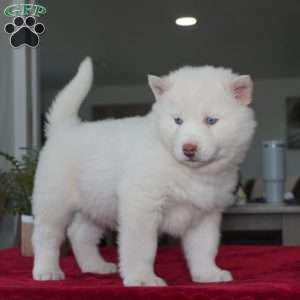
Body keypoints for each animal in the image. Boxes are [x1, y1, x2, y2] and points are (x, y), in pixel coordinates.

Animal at [32, 58, 255, 286]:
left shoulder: (205, 213)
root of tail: (65, 128)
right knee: (47, 235)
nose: (189, 149)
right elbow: (141, 248)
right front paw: (142, 279)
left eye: (211, 120)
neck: (186, 170)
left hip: (95, 203)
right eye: (177, 120)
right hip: (53, 201)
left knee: (80, 233)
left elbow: (204, 247)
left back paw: (95, 266)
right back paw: (47, 270)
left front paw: (208, 274)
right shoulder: (142, 205)